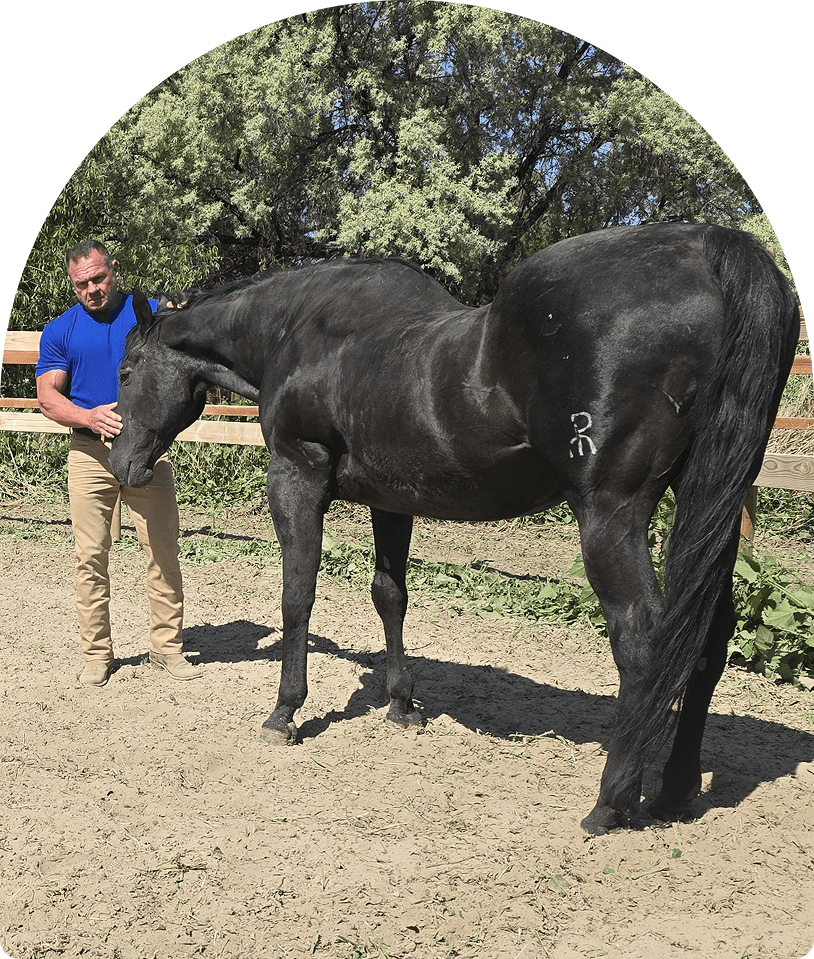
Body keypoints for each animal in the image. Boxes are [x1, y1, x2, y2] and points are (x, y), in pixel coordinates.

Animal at [108, 222, 799, 834]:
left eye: (125, 370)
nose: (121, 463)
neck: (301, 330)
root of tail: (707, 249)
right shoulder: (391, 501)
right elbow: (390, 596)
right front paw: (401, 704)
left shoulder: (296, 477)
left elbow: (297, 595)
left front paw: (284, 712)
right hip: (710, 502)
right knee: (708, 635)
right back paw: (676, 790)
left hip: (611, 514)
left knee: (645, 638)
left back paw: (612, 802)